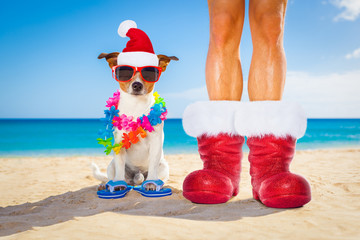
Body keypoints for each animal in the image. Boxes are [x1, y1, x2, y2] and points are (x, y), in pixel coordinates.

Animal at [92, 53, 178, 191]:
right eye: (125, 72)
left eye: (149, 73)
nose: (137, 85)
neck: (136, 107)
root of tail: (135, 178)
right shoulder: (119, 144)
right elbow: (120, 167)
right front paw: (118, 183)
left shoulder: (155, 142)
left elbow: (153, 164)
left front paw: (151, 183)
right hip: (111, 166)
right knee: (114, 177)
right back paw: (105, 184)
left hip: (164, 166)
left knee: (160, 177)